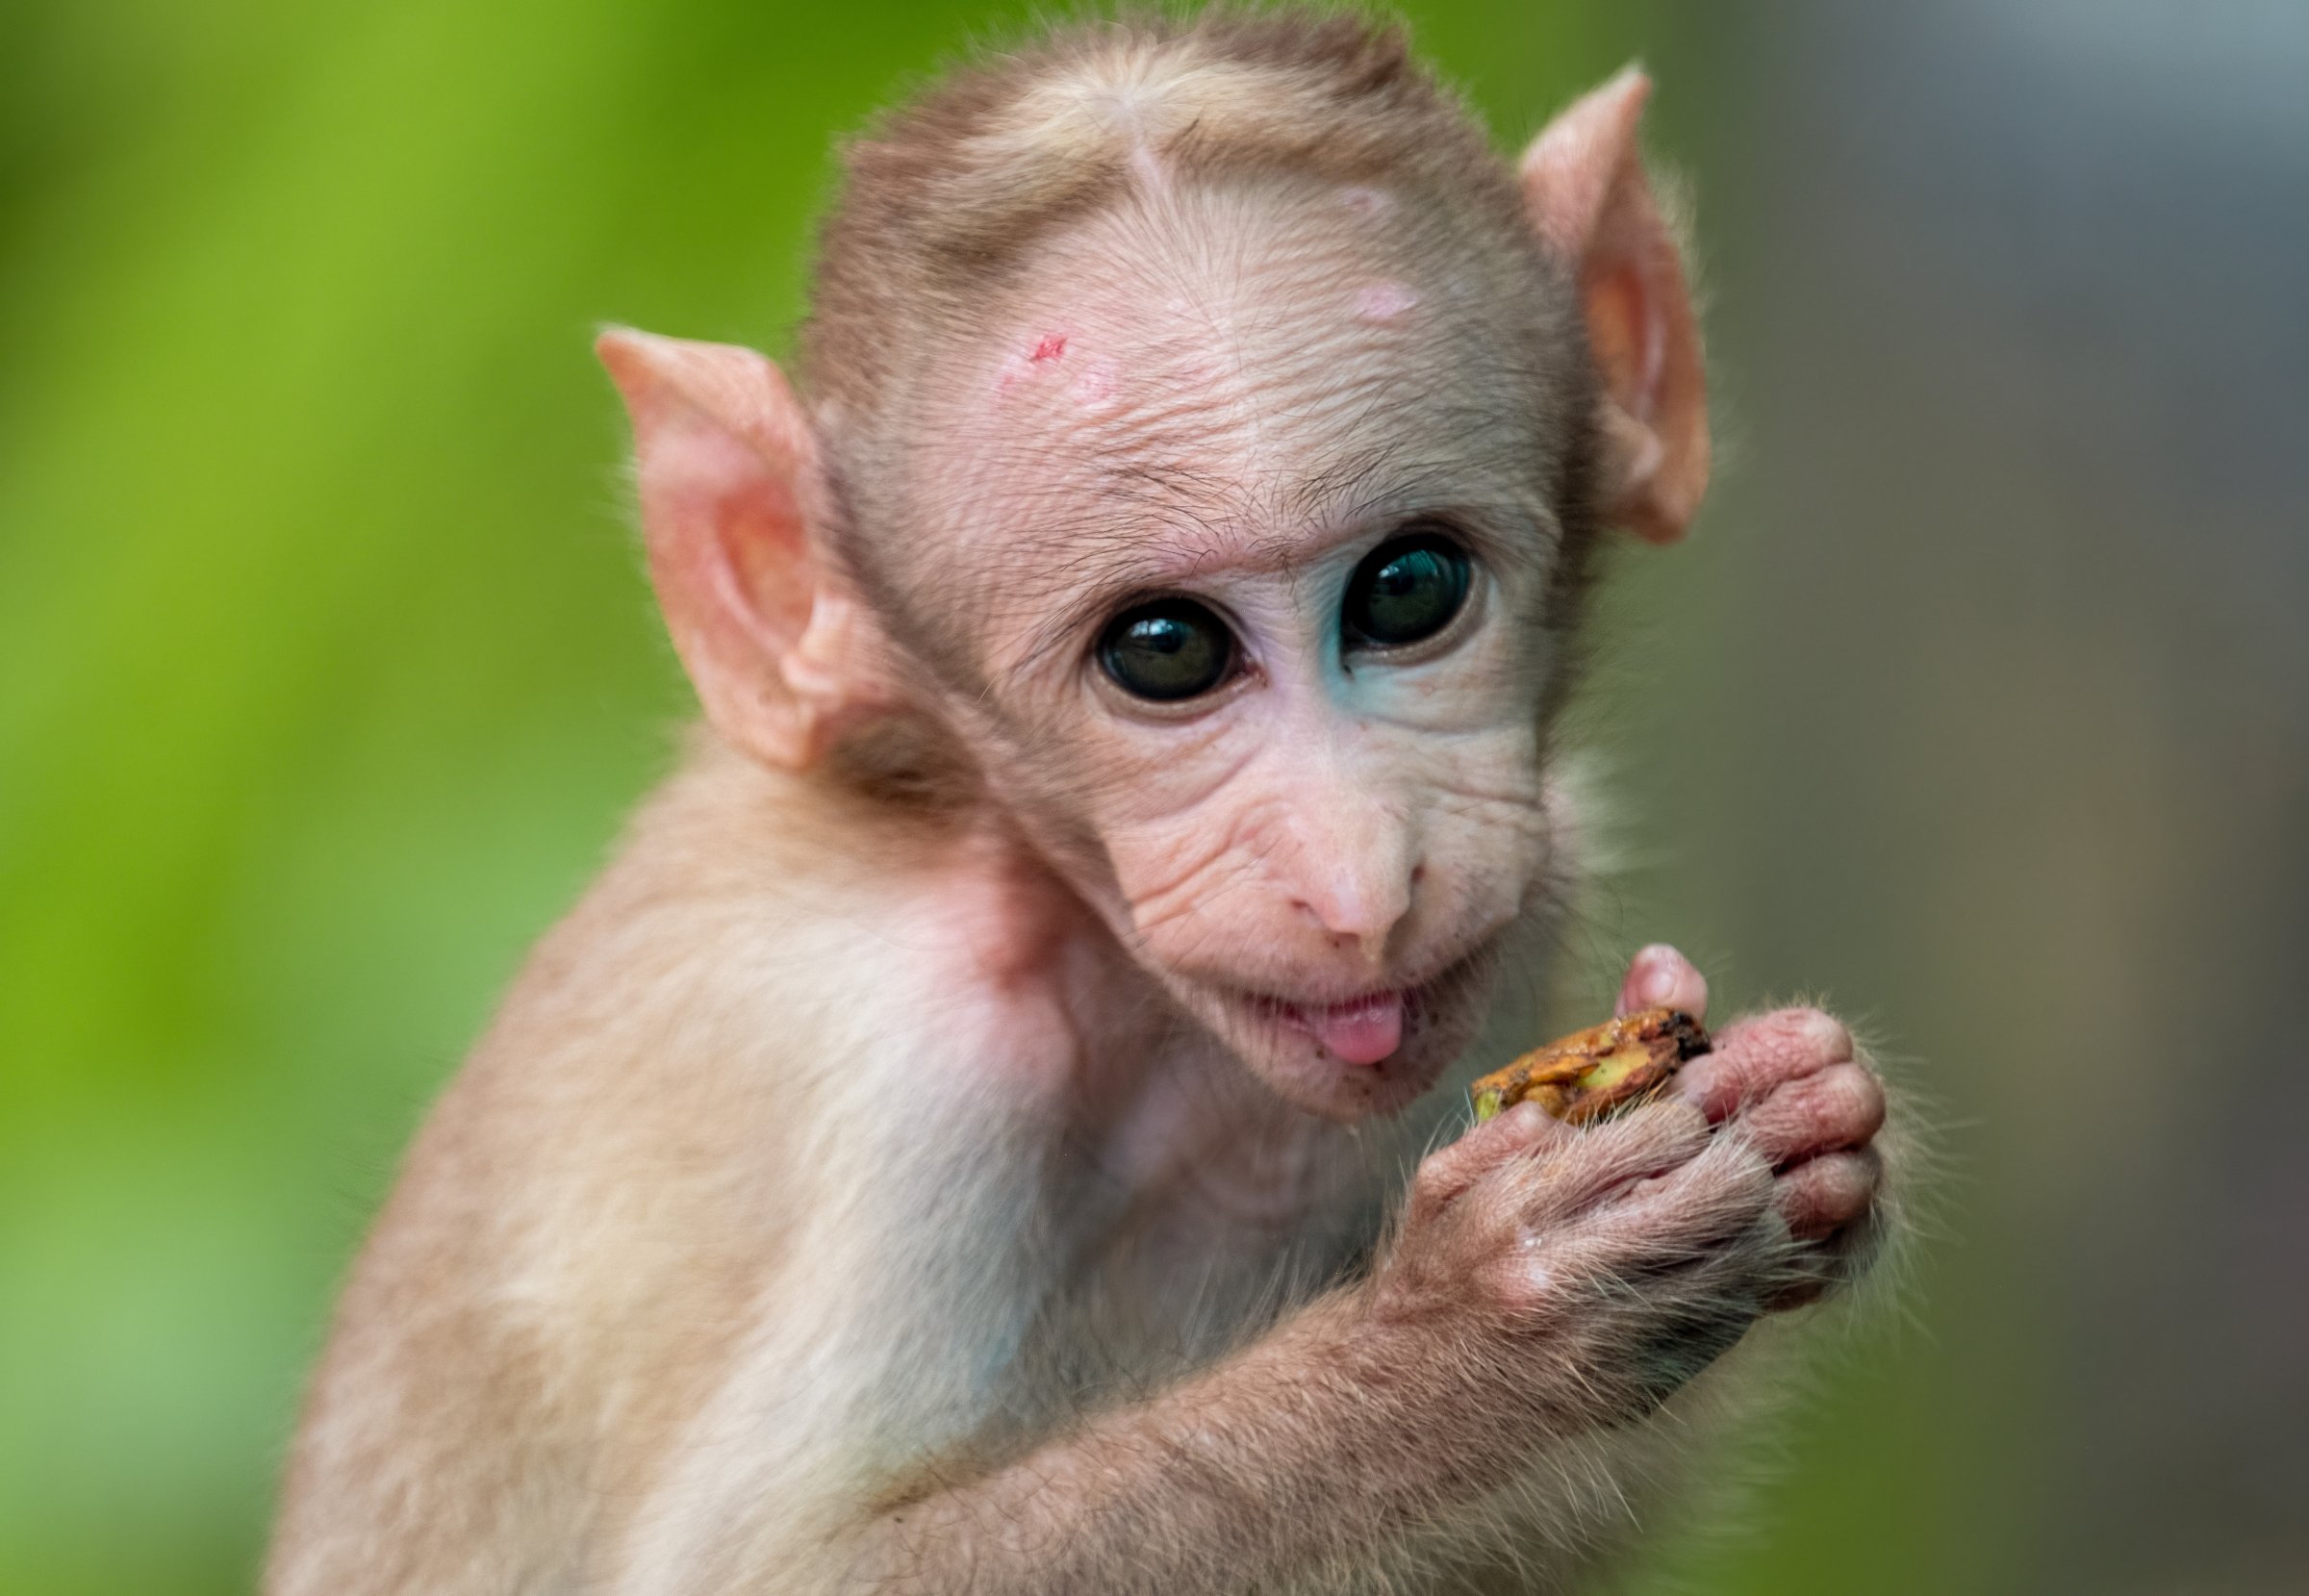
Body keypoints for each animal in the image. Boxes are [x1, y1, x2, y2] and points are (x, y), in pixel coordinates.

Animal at [265, 12, 1894, 1595]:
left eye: (1409, 587)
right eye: (1163, 650)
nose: (1360, 879)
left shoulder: (1522, 901)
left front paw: (1806, 1107)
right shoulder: (907, 1062)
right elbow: (774, 1567)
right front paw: (1483, 1328)